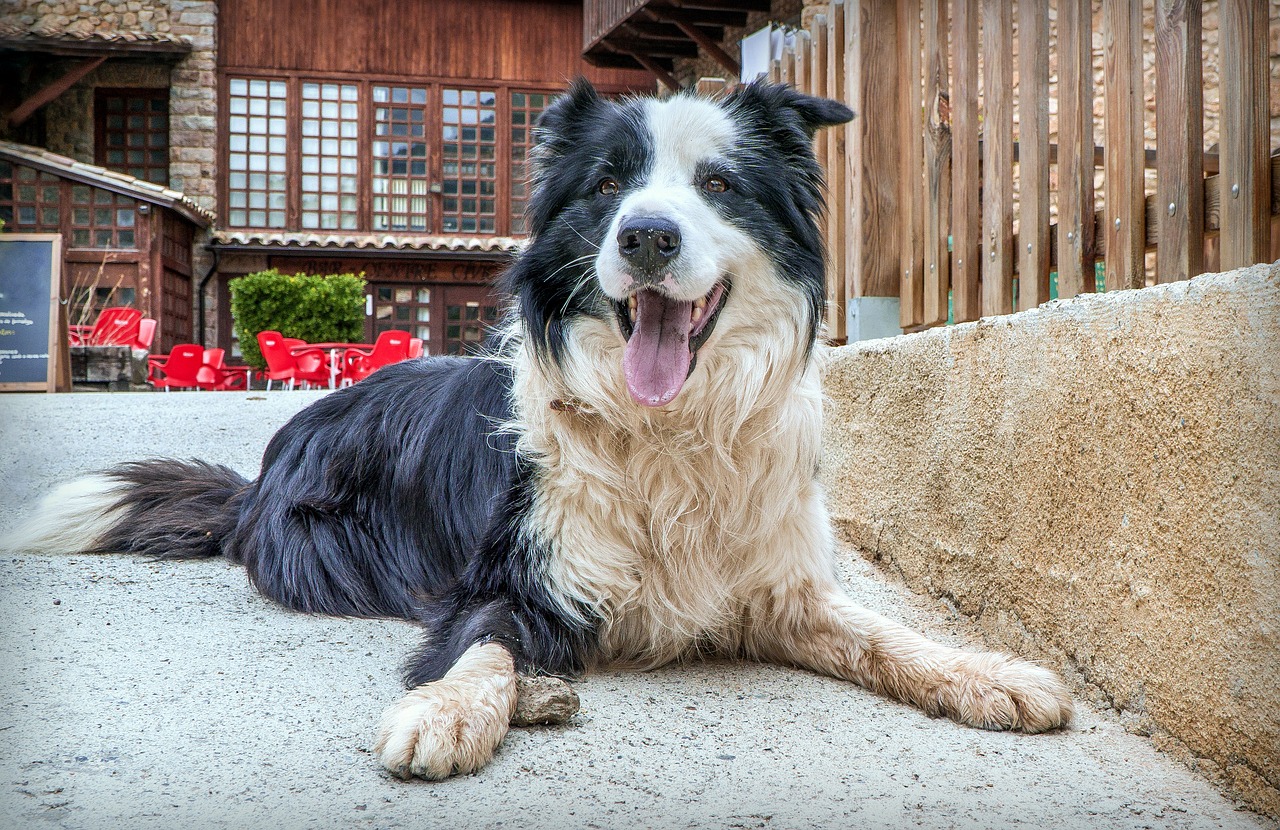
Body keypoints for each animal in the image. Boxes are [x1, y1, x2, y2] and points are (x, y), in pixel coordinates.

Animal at [15, 81, 1070, 783]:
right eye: (606, 186)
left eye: (720, 185)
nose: (646, 235)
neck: (669, 432)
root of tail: (259, 473)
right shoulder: (510, 575)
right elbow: (482, 643)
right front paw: (446, 709)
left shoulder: (780, 589)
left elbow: (882, 632)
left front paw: (991, 674)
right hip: (329, 551)